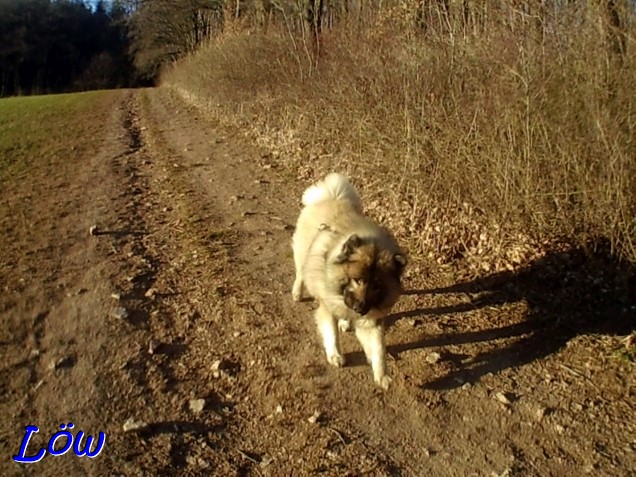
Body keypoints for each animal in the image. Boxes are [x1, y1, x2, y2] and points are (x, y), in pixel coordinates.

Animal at [294, 173, 408, 388]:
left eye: (377, 286)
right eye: (358, 280)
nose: (360, 308)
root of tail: (332, 196)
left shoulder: (371, 320)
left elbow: (379, 348)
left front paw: (382, 376)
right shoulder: (328, 306)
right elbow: (331, 333)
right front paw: (335, 355)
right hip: (301, 255)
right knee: (299, 273)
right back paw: (297, 293)